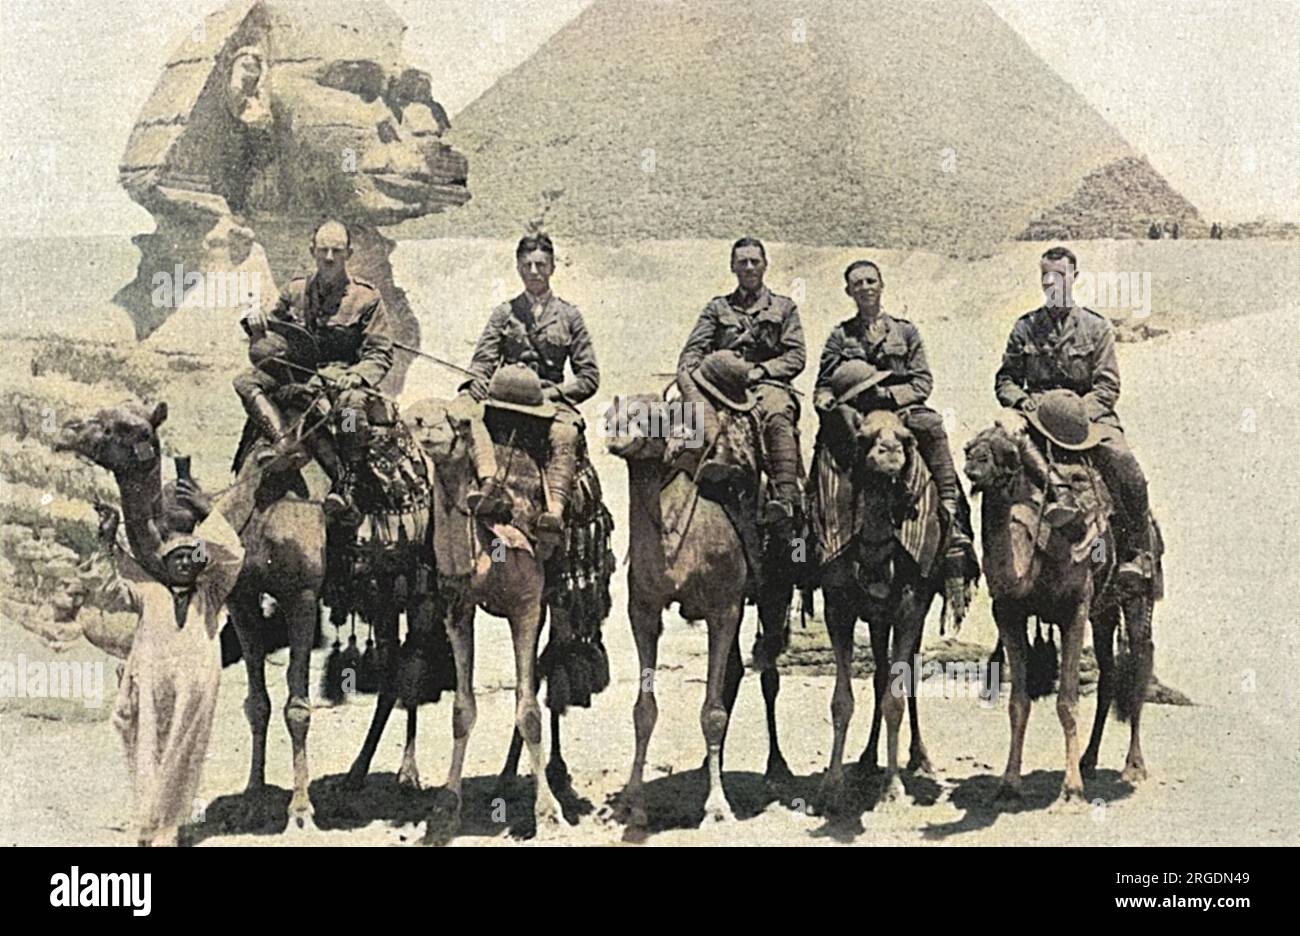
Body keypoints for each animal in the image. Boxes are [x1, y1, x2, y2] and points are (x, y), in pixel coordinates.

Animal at [57, 397, 325, 821]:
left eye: (133, 429)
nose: (67, 430)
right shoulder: (241, 598)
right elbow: (257, 705)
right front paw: (252, 794)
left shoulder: (302, 593)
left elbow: (296, 706)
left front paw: (300, 807)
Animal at [600, 395, 790, 826]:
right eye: (615, 411)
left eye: (654, 414)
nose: (617, 433)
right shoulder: (643, 609)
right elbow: (644, 710)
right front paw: (633, 802)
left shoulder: (724, 608)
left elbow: (712, 713)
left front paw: (717, 807)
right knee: (737, 670)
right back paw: (707, 764)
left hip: (774, 591)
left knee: (768, 670)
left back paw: (776, 768)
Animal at [806, 408, 977, 811]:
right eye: (864, 438)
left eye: (907, 439)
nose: (889, 454)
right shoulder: (838, 603)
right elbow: (842, 701)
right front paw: (831, 788)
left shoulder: (911, 604)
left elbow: (896, 699)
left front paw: (893, 789)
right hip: (876, 617)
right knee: (881, 674)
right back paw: (869, 758)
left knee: (905, 674)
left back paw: (920, 758)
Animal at [967, 421, 1159, 800]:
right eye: (968, 448)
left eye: (1007, 454)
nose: (974, 467)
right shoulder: (1007, 611)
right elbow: (1018, 702)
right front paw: (1009, 783)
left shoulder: (1075, 608)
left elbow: (1067, 701)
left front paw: (1071, 789)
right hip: (1103, 614)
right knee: (1108, 675)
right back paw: (1089, 759)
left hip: (1138, 594)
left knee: (1140, 661)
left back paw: (1133, 766)